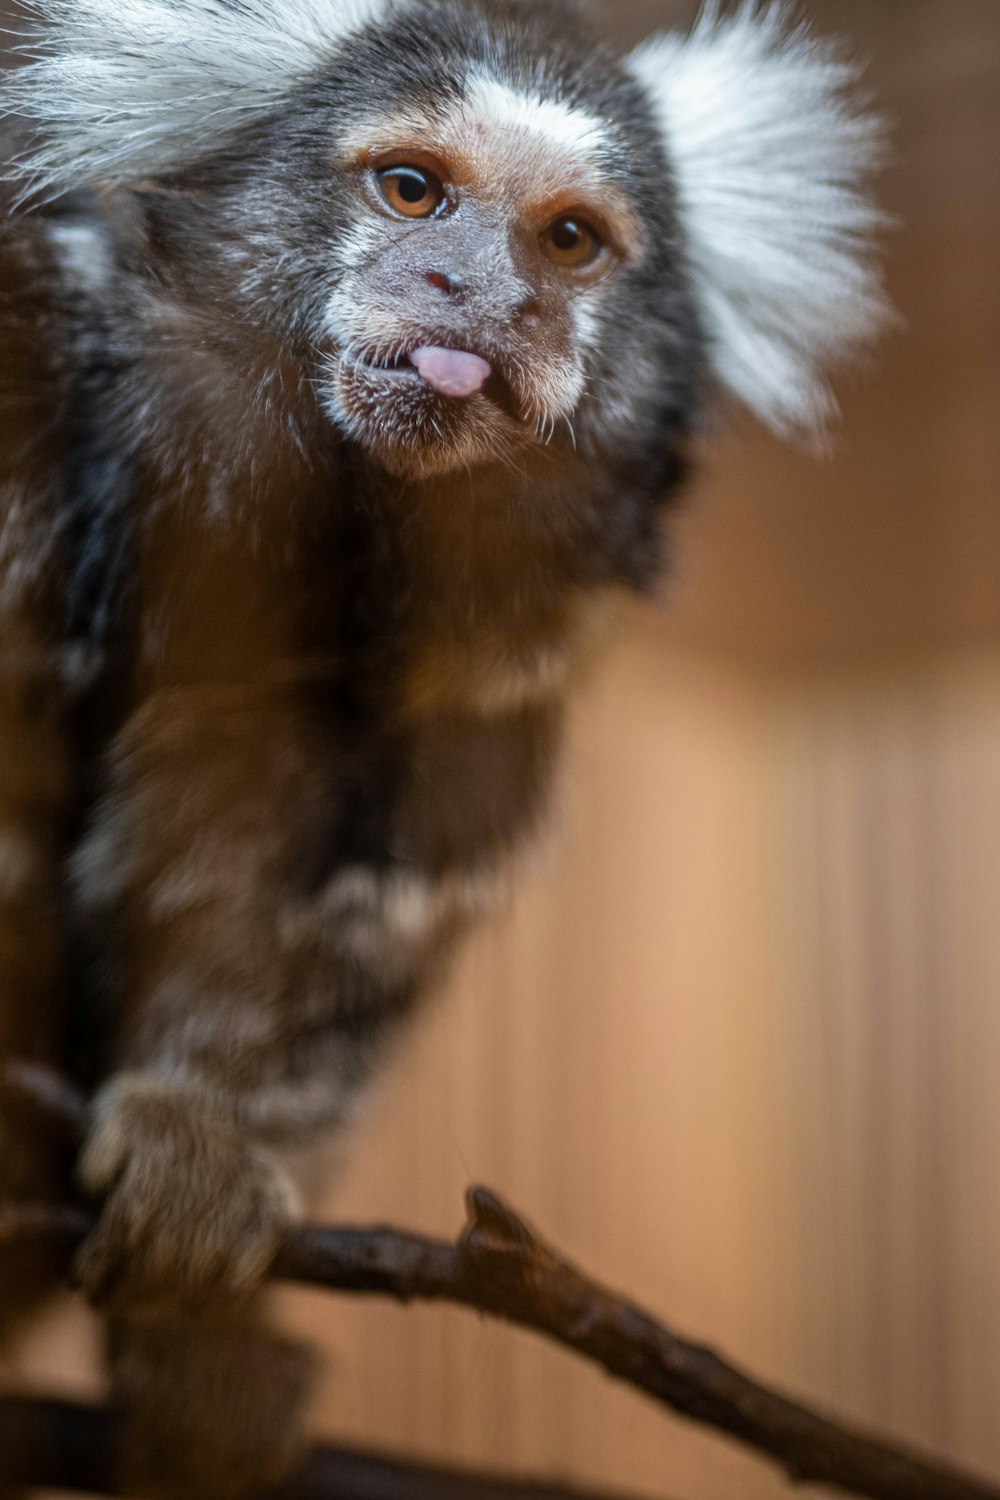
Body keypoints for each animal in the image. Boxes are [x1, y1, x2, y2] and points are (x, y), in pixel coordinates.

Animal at [0, 0, 887, 1494]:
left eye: (567, 240)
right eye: (411, 190)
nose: (473, 297)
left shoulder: (497, 659)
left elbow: (337, 891)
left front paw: (197, 1182)